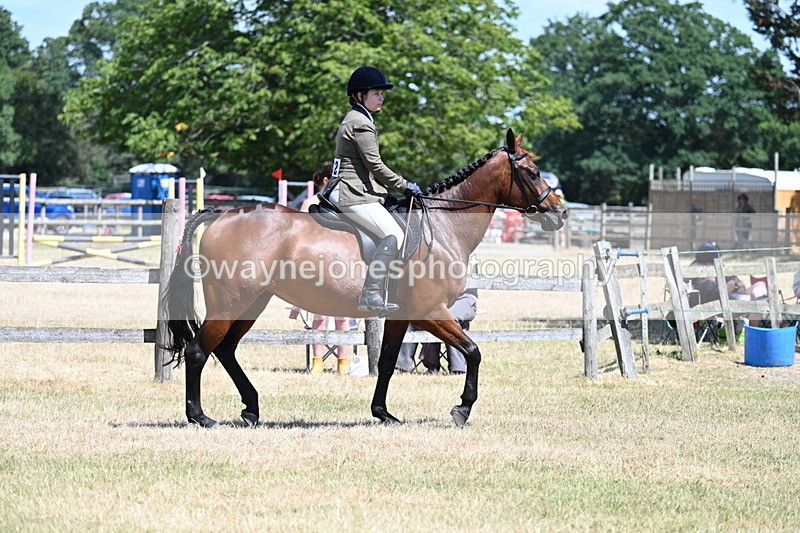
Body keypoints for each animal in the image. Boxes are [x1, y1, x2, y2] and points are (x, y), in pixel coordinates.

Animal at [160, 129, 566, 428]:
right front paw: (461, 410)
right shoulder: (431, 312)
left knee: (226, 350)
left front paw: (383, 414)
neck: (442, 225)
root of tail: (223, 214)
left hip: (253, 302)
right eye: (532, 173)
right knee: (199, 351)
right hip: (231, 303)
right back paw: (201, 417)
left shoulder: (402, 316)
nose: (559, 214)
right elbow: (473, 351)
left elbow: (386, 362)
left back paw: (251, 409)